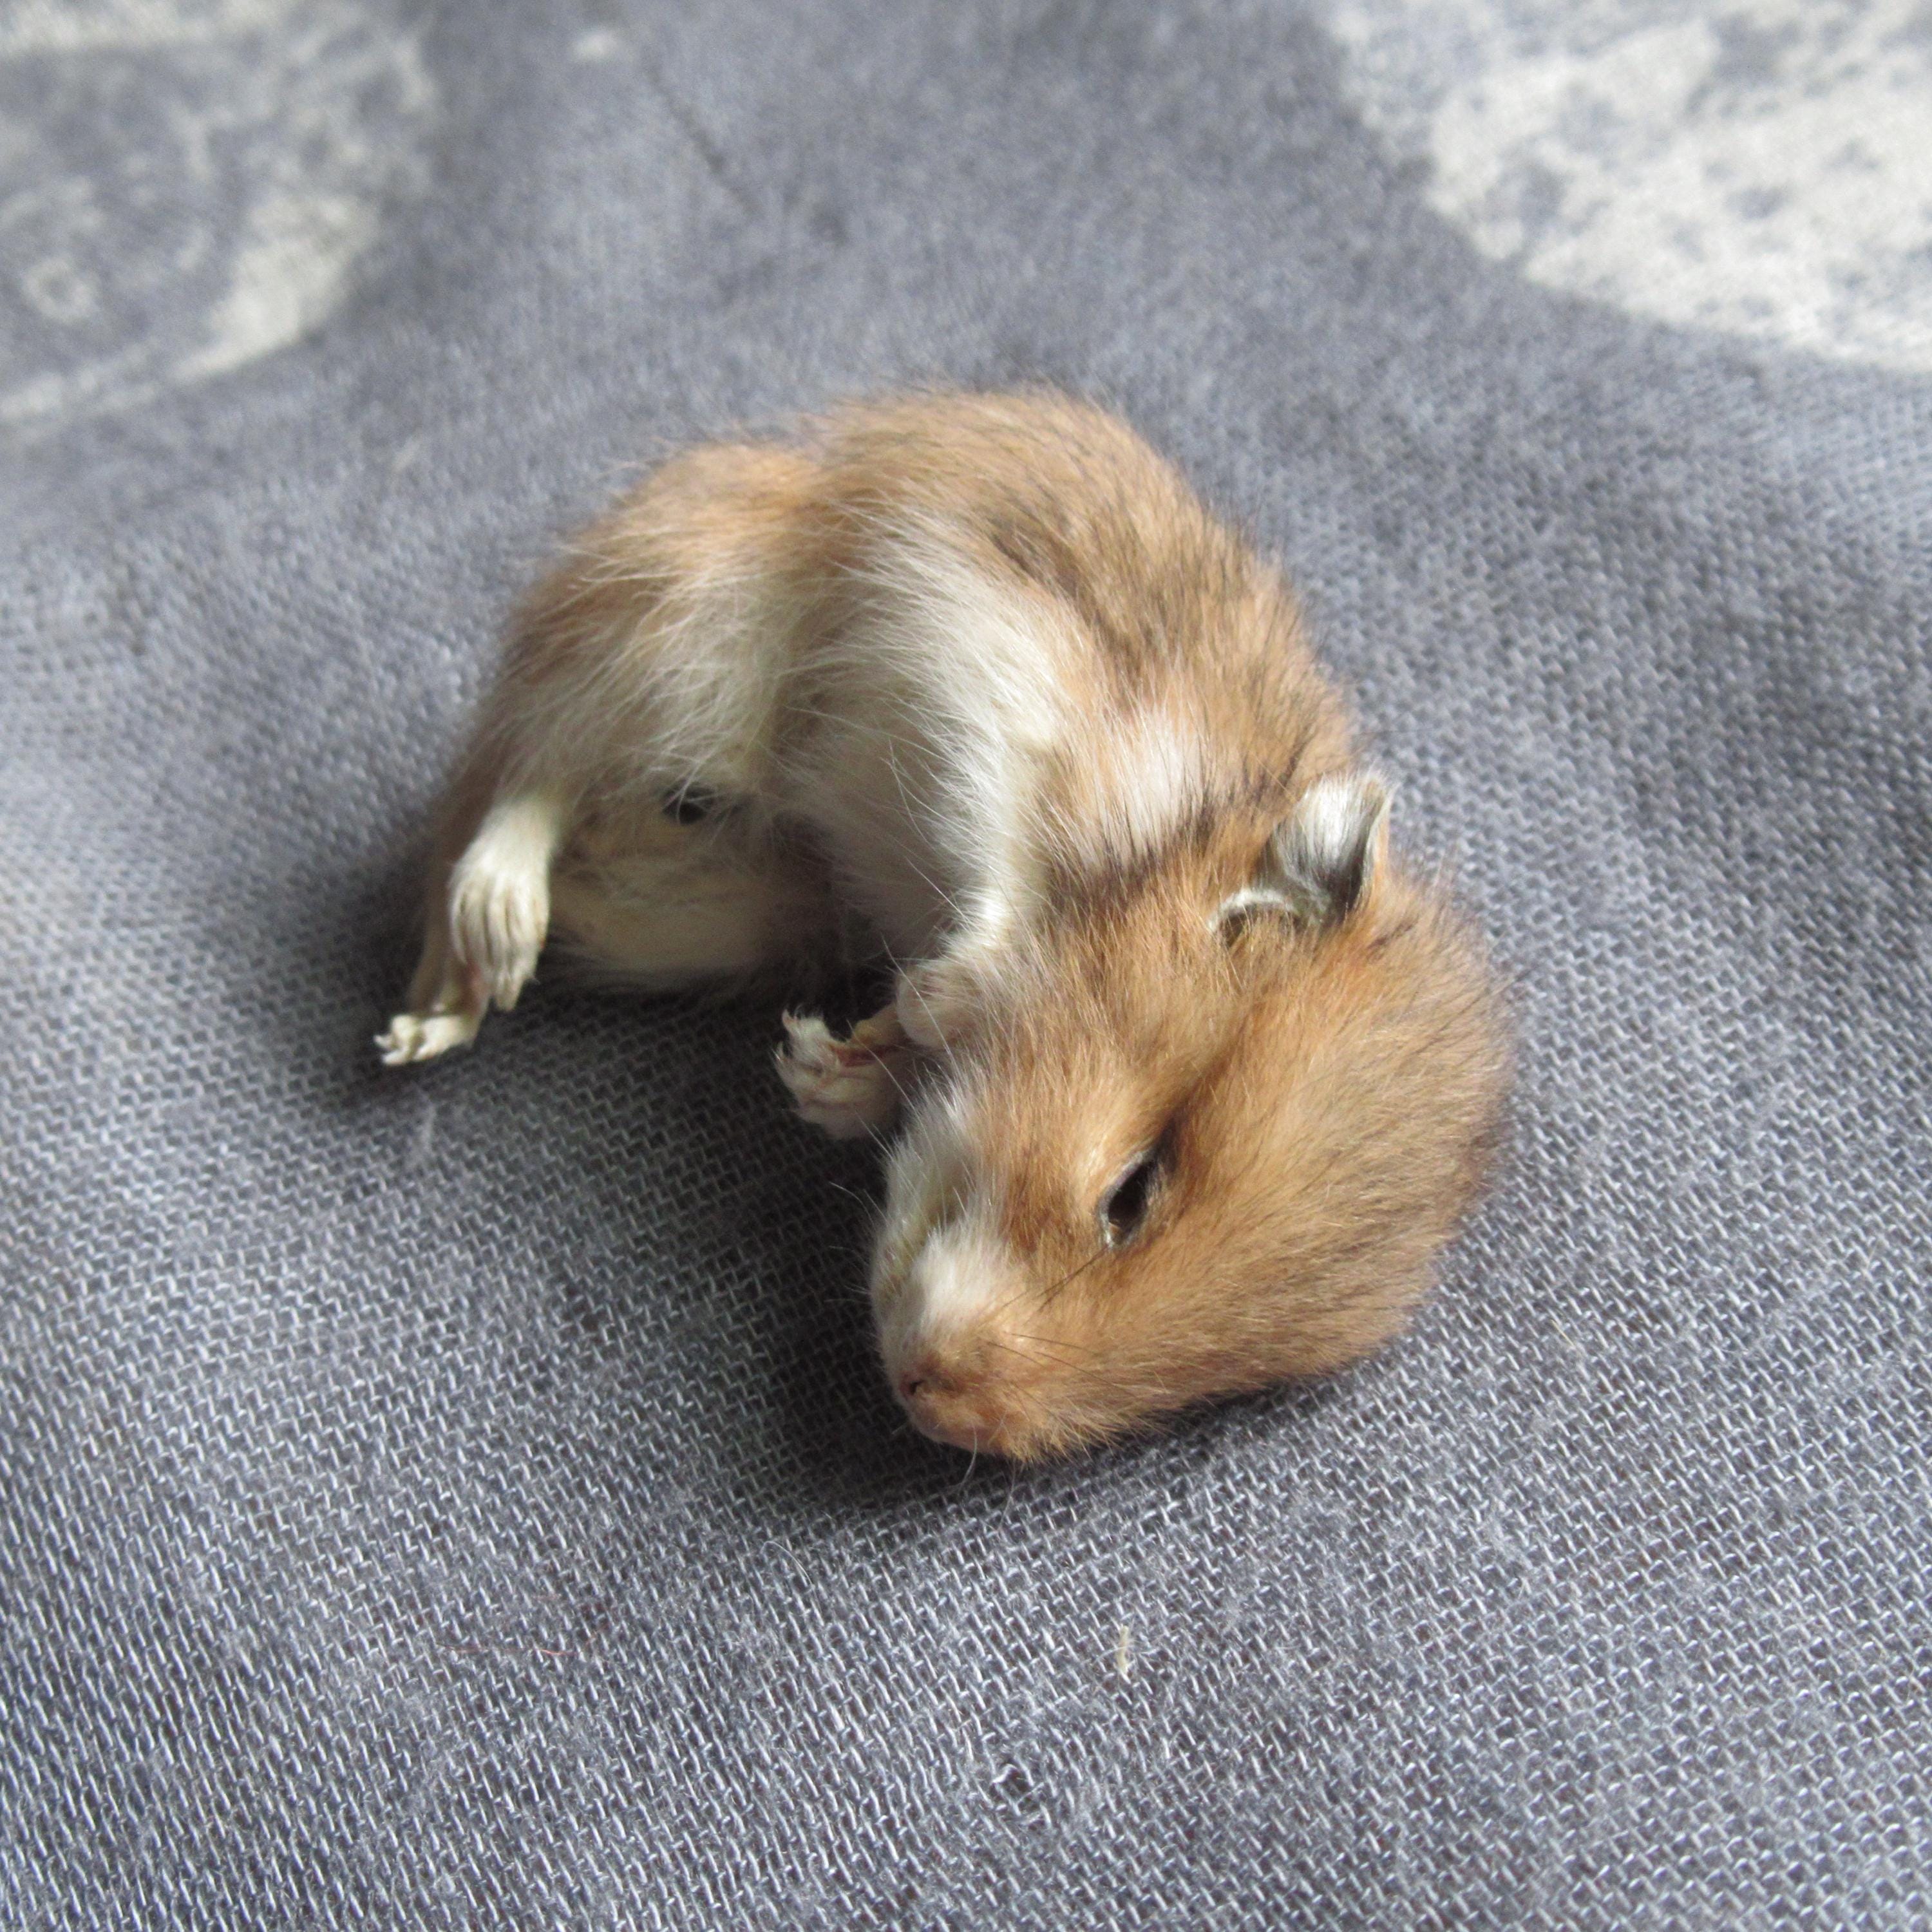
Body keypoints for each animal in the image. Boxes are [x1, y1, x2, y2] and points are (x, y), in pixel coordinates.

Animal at [379, 391, 1509, 1460]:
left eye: (1207, 1382)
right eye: (1132, 1193)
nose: (930, 1398)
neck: (1163, 837)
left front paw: (824, 1070)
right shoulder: (998, 689)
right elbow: (990, 902)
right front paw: (913, 1013)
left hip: (736, 896)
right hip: (695, 637)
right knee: (532, 772)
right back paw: (474, 958)